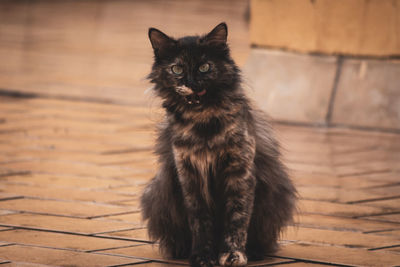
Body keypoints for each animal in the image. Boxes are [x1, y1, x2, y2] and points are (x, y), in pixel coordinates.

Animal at [141, 22, 296, 266]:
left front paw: (233, 254)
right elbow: (200, 222)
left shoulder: (239, 174)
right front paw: (202, 256)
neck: (203, 123)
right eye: (177, 69)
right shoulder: (189, 176)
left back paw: (254, 252)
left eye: (204, 67)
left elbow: (237, 219)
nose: (191, 83)